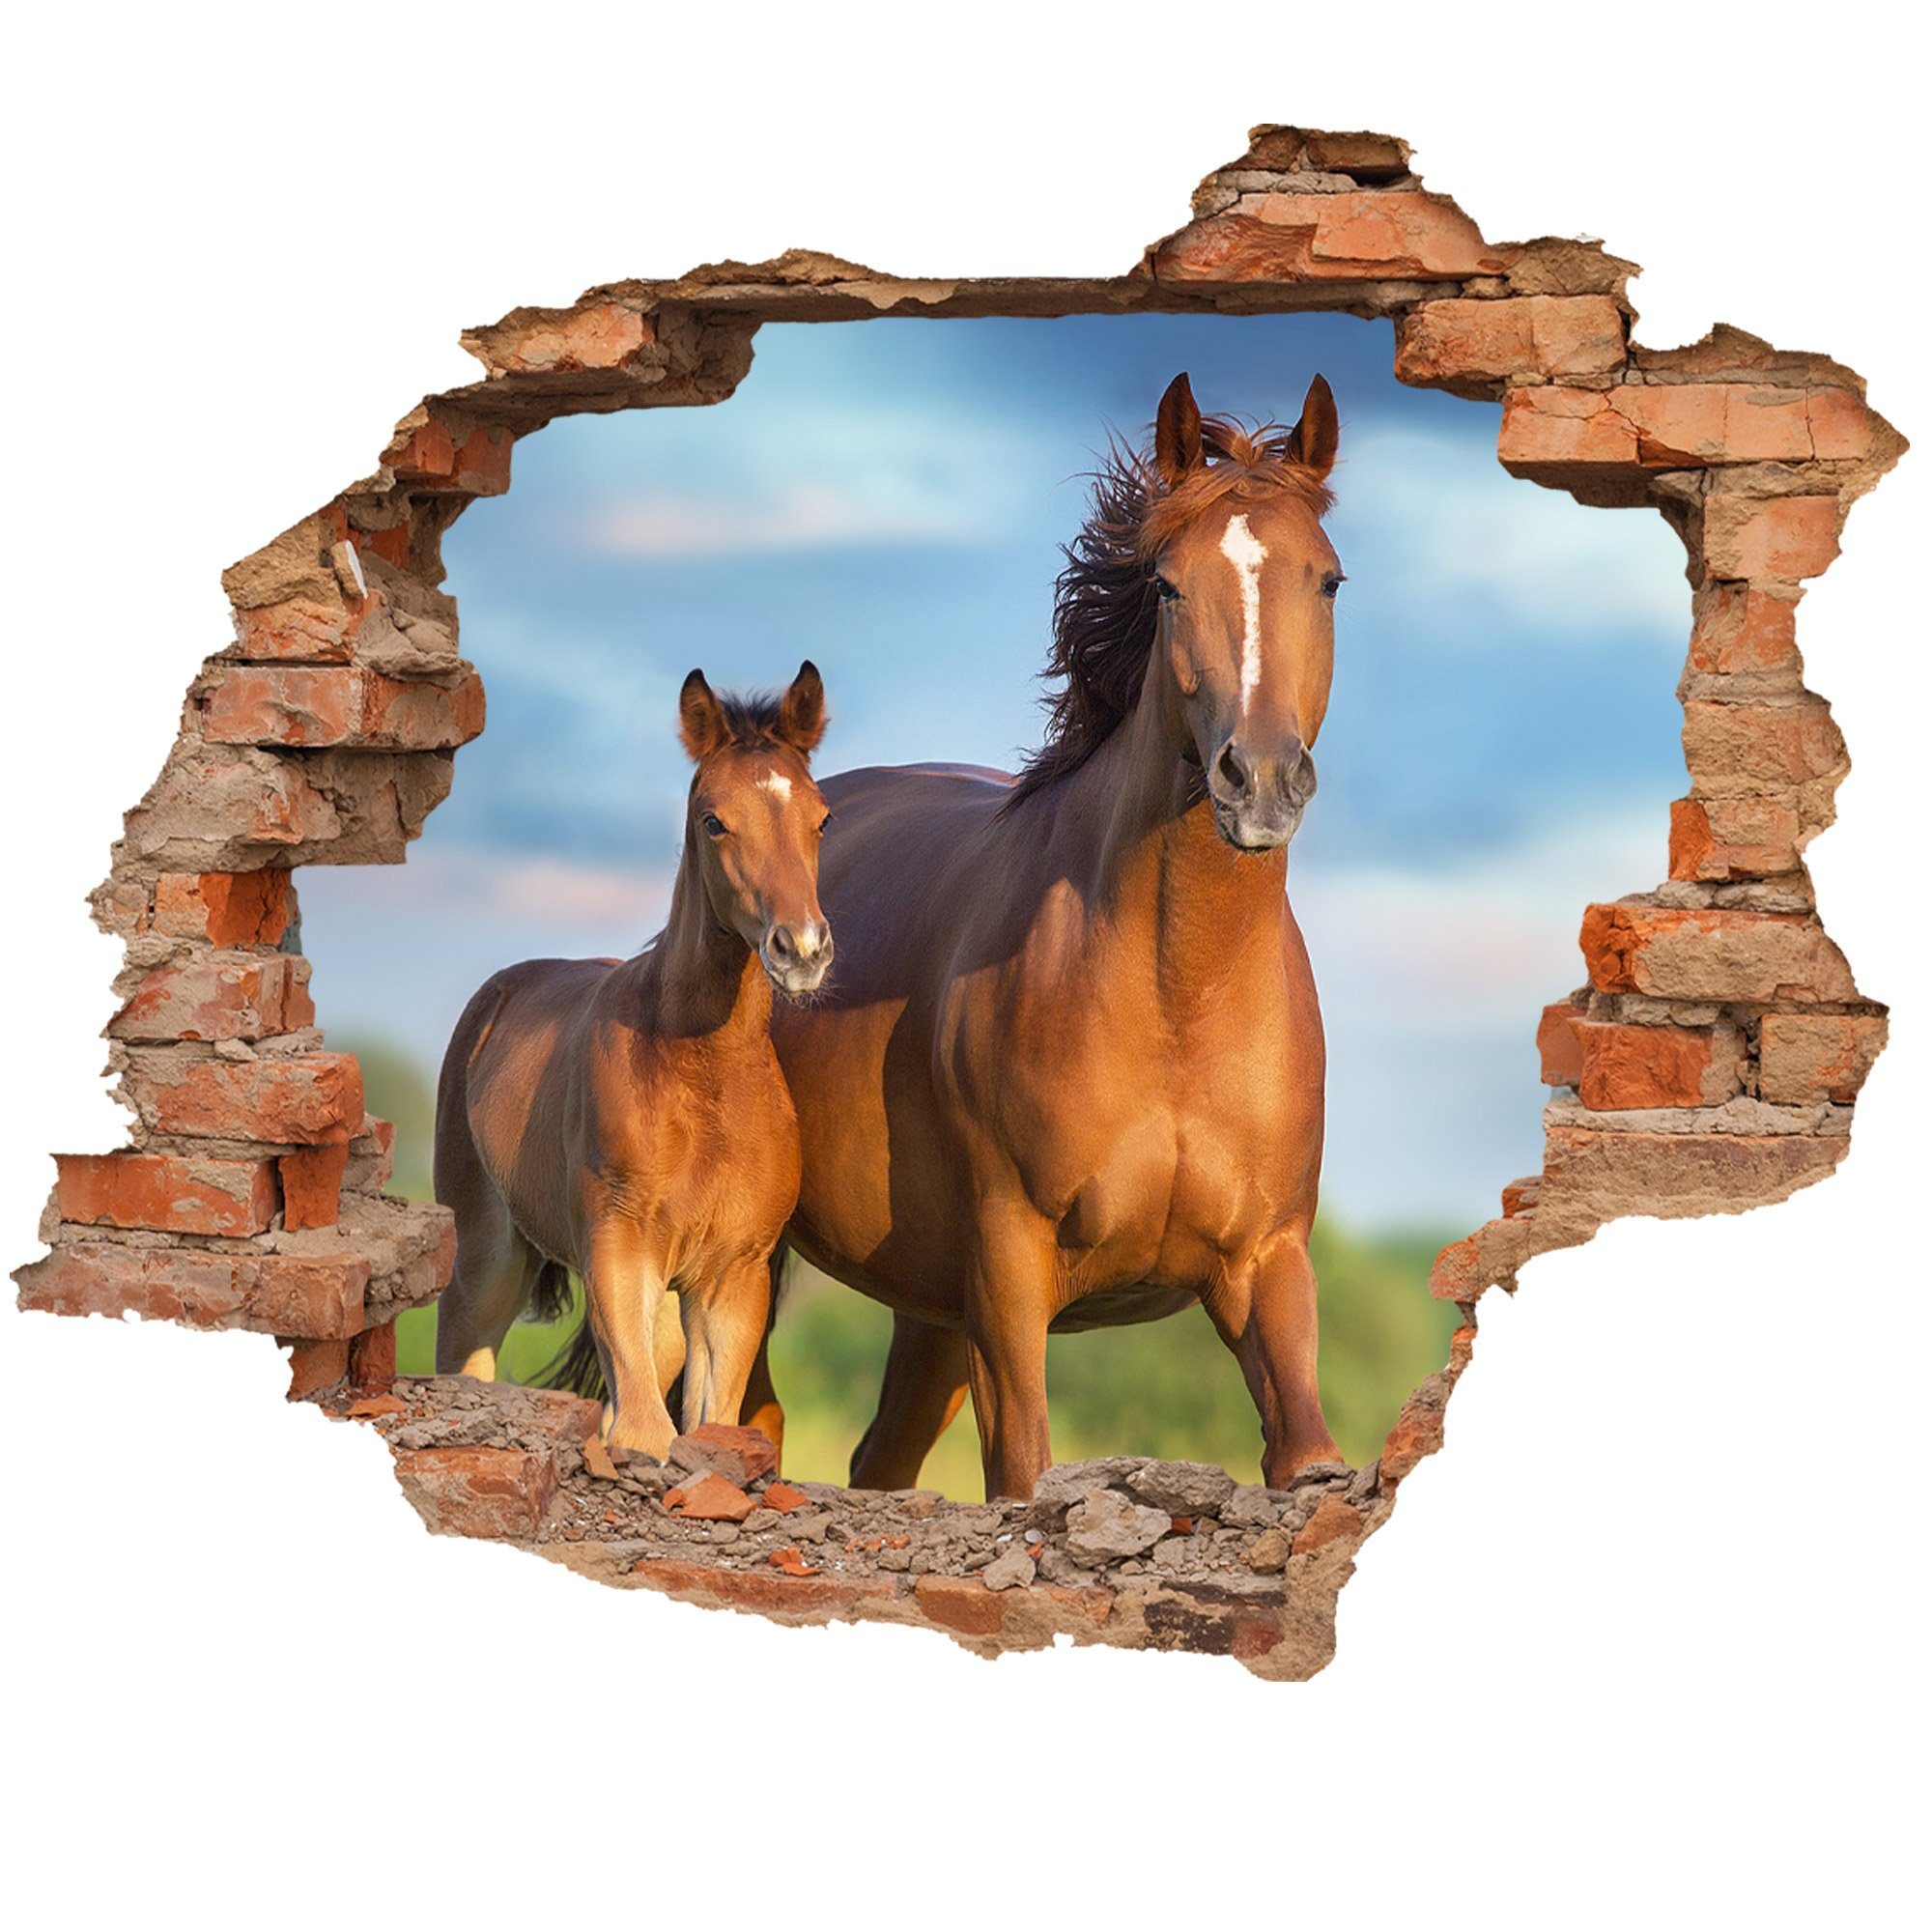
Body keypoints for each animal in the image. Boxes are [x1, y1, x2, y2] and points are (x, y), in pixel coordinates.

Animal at [431, 662, 833, 1457]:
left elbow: (704, 1425)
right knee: (464, 1350)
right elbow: (645, 1433)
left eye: (822, 817)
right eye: (713, 820)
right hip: (489, 1254)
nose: (801, 950)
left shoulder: (731, 1278)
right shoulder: (618, 1253)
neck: (704, 1073)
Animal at [765, 372, 1346, 1499]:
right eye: (1166, 586)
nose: (1258, 780)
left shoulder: (1266, 1265)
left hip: (928, 1310)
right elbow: (1024, 1470)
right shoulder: (1008, 1270)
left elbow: (1306, 1454)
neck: (1178, 995)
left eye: (1329, 582)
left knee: (879, 1458)